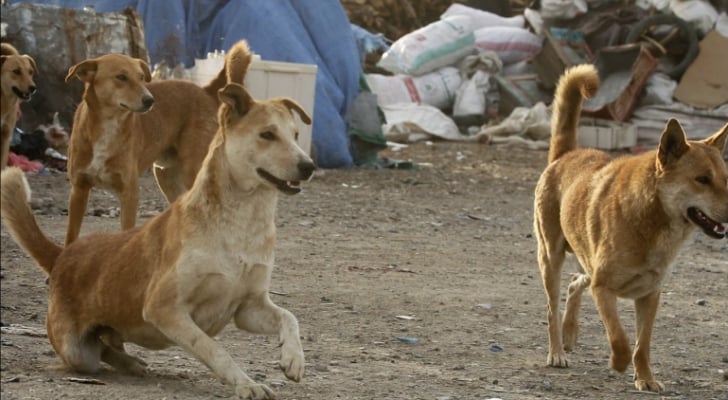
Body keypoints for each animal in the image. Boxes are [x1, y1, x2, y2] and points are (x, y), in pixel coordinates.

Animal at [1, 83, 318, 398]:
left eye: (296, 135)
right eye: (267, 134)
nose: (309, 166)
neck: (243, 224)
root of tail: (63, 255)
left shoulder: (248, 308)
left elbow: (289, 317)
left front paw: (294, 359)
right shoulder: (163, 308)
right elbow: (214, 349)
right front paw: (246, 384)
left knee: (107, 345)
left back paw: (131, 362)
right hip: (77, 351)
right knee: (98, 351)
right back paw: (129, 362)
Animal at [65, 41, 253, 247]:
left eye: (141, 77)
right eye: (121, 77)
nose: (150, 100)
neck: (108, 125)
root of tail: (204, 90)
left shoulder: (129, 193)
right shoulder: (79, 190)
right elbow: (71, 236)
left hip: (192, 171)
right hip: (166, 177)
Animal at [536, 64, 728, 392]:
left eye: (726, 179)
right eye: (702, 180)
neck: (653, 220)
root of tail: (565, 155)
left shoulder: (649, 296)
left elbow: (642, 345)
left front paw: (646, 378)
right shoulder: (603, 289)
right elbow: (620, 339)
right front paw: (618, 363)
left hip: (585, 261)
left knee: (575, 282)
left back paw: (570, 332)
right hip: (551, 258)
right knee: (551, 308)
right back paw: (557, 351)